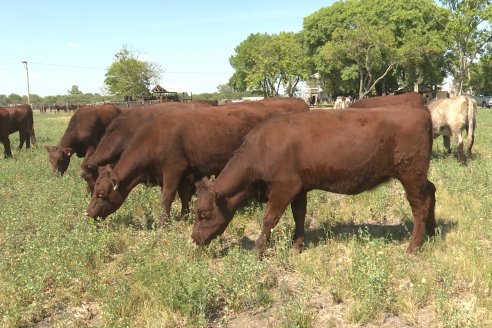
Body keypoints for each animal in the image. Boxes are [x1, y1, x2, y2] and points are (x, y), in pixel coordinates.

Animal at [84, 96, 308, 222]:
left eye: (101, 193)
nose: (88, 213)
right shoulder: (185, 172)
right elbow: (183, 195)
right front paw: (184, 215)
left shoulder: (172, 170)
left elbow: (167, 197)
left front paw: (163, 223)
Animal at [191, 104, 434, 255]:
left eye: (204, 213)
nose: (194, 238)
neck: (262, 148)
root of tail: (420, 109)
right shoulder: (299, 188)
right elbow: (299, 215)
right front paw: (296, 245)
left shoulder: (284, 188)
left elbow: (269, 218)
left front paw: (258, 250)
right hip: (418, 176)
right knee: (431, 192)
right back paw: (431, 232)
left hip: (411, 174)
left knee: (419, 206)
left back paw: (414, 246)